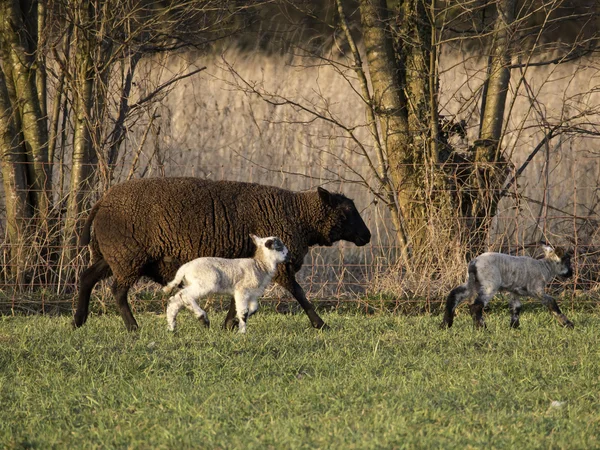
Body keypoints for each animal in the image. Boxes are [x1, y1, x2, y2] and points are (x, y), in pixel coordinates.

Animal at [74, 177, 370, 330]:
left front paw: (229, 324)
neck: (299, 216)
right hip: (127, 256)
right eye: (346, 212)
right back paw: (132, 327)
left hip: (111, 256)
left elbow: (238, 300)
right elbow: (300, 294)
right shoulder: (279, 268)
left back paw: (79, 321)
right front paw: (321, 324)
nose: (367, 237)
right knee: (117, 291)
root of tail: (102, 202)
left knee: (86, 278)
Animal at [440, 244, 576, 328]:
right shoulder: (536, 289)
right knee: (476, 305)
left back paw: (446, 324)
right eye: (567, 260)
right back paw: (482, 327)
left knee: (454, 295)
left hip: (473, 282)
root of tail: (474, 263)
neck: (545, 268)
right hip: (490, 284)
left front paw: (514, 327)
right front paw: (567, 323)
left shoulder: (514, 291)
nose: (571, 273)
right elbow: (551, 302)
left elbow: (516, 308)